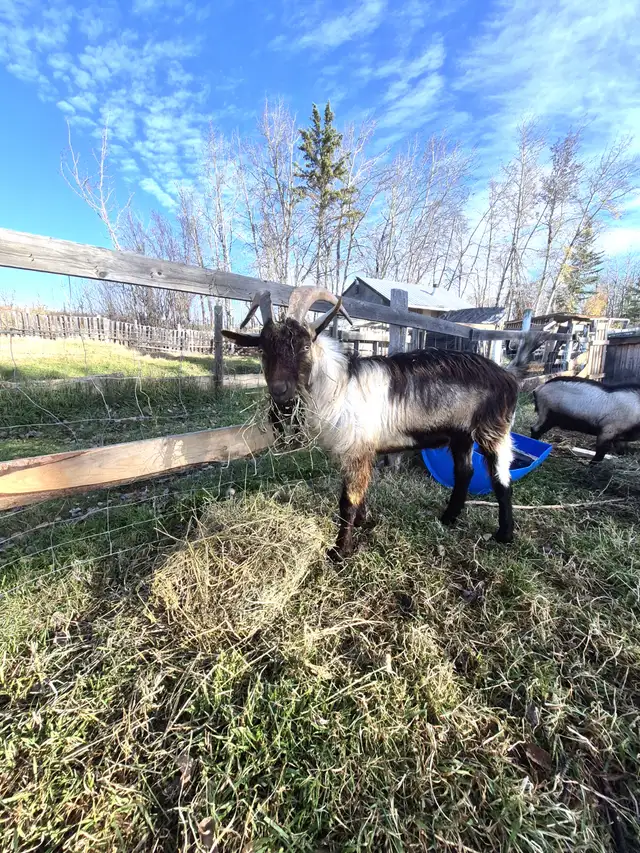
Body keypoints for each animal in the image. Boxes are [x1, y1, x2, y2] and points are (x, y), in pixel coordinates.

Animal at [223, 287, 540, 559]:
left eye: (303, 345)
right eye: (263, 349)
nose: (280, 391)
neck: (339, 386)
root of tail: (507, 374)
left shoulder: (357, 449)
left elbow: (347, 500)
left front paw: (339, 551)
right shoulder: (355, 451)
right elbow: (359, 494)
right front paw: (362, 524)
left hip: (493, 431)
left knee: (501, 479)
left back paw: (504, 534)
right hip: (461, 434)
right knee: (465, 472)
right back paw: (448, 517)